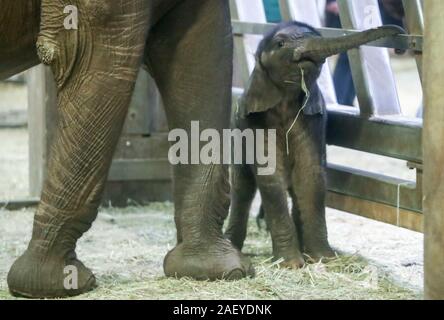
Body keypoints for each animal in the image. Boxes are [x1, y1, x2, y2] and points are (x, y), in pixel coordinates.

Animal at [225, 21, 402, 268]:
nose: (400, 32)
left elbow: (309, 175)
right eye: (280, 44)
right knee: (243, 188)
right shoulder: (254, 122)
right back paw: (233, 247)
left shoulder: (313, 119)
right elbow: (271, 178)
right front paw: (291, 265)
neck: (286, 100)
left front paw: (323, 259)